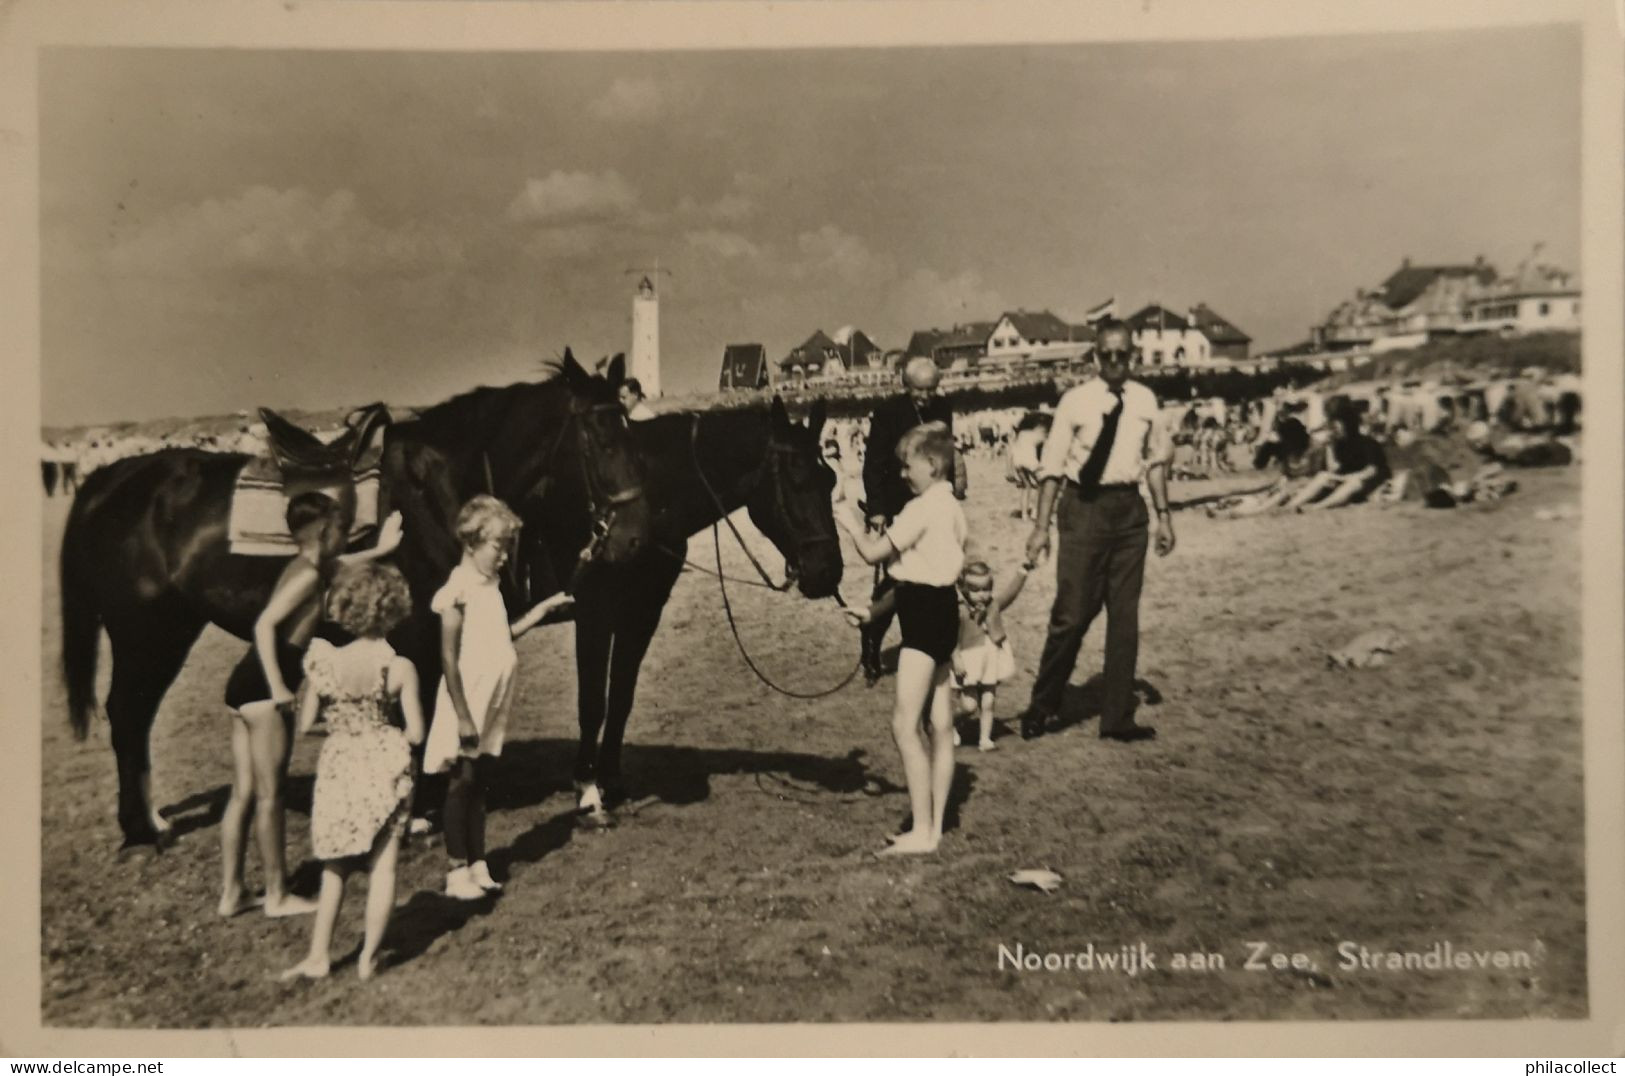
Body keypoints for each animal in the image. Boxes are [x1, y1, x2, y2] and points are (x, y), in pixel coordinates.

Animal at [61, 354, 646, 851]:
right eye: (598, 438)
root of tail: (111, 478)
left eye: (630, 429)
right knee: (127, 713)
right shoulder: (421, 633)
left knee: (134, 715)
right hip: (146, 634)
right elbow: (420, 719)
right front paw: (415, 817)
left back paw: (149, 822)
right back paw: (143, 830)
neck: (433, 493)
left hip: (169, 630)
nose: (633, 537)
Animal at [568, 396, 845, 819]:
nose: (828, 571)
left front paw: (611, 782)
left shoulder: (642, 610)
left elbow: (621, 697)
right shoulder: (593, 610)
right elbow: (592, 702)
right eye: (796, 478)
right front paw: (587, 791)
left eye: (829, 479)